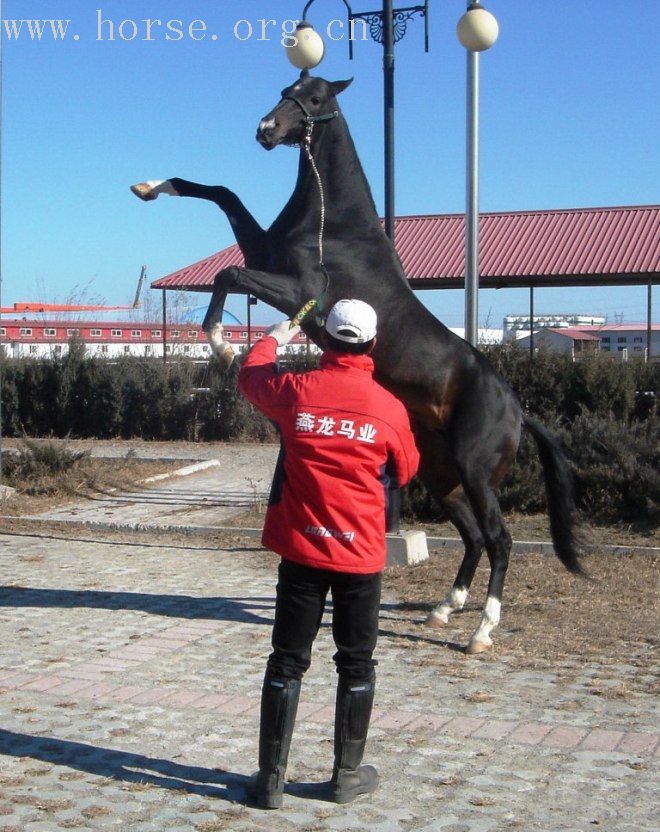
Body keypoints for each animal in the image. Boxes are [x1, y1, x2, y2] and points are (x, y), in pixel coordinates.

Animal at [130, 73, 584, 656]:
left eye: (317, 98)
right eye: (286, 87)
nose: (265, 130)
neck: (336, 222)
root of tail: (518, 409)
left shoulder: (300, 289)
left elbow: (227, 272)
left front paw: (222, 345)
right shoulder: (264, 256)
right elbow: (223, 196)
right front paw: (149, 186)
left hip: (477, 472)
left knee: (500, 540)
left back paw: (482, 631)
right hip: (442, 475)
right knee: (474, 536)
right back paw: (444, 609)